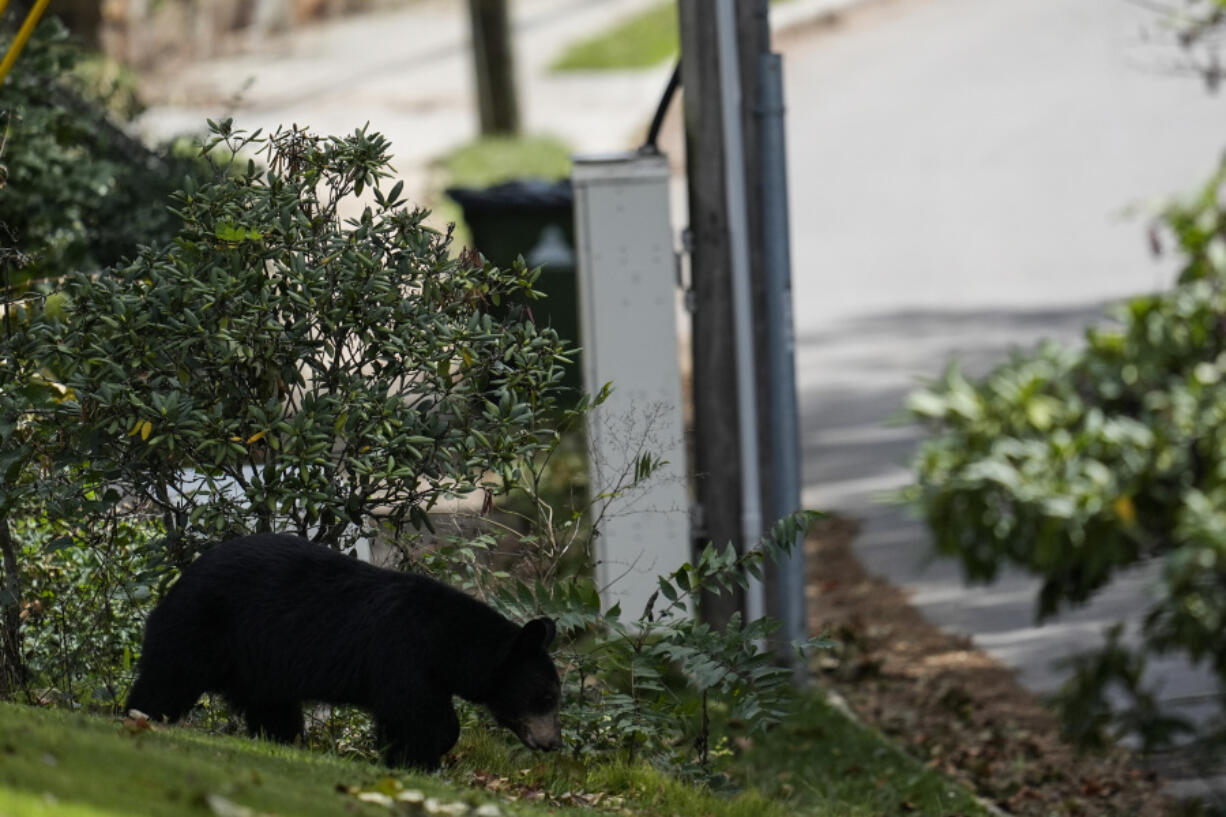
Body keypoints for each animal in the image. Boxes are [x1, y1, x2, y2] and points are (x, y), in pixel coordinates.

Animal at [124, 532, 563, 765]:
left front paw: (401, 759)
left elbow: (400, 717)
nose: (553, 743)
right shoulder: (401, 652)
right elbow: (422, 713)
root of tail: (178, 579)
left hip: (258, 664)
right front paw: (426, 755)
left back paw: (281, 742)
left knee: (273, 710)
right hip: (204, 627)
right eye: (546, 697)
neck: (446, 640)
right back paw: (139, 717)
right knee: (167, 679)